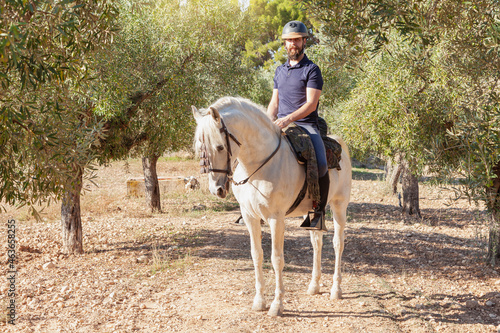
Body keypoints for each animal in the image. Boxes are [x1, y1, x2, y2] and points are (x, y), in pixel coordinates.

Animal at [191, 96, 352, 316]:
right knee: (316, 243)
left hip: (339, 205)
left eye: (220, 147)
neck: (259, 166)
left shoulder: (276, 219)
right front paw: (259, 301)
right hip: (312, 213)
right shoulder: (250, 217)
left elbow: (277, 259)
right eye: (200, 148)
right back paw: (314, 285)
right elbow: (256, 255)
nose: (217, 189)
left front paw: (277, 304)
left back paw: (336, 289)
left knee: (338, 243)